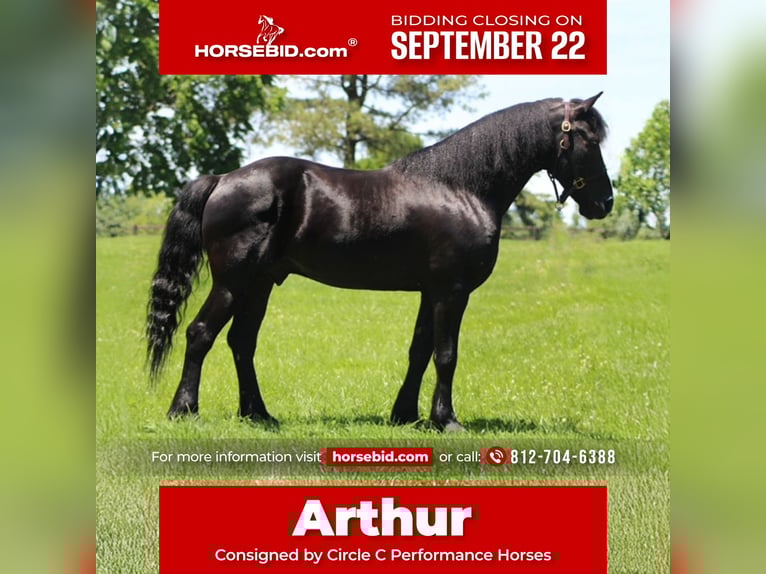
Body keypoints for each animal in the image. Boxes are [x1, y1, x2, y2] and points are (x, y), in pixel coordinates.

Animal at [146, 93, 613, 431]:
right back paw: (183, 410)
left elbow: (420, 351)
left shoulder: (431, 291)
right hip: (232, 282)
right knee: (200, 334)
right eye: (589, 141)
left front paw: (405, 415)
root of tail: (223, 179)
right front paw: (447, 421)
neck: (461, 188)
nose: (605, 202)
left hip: (259, 285)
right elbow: (446, 354)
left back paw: (258, 415)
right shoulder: (452, 292)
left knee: (242, 343)